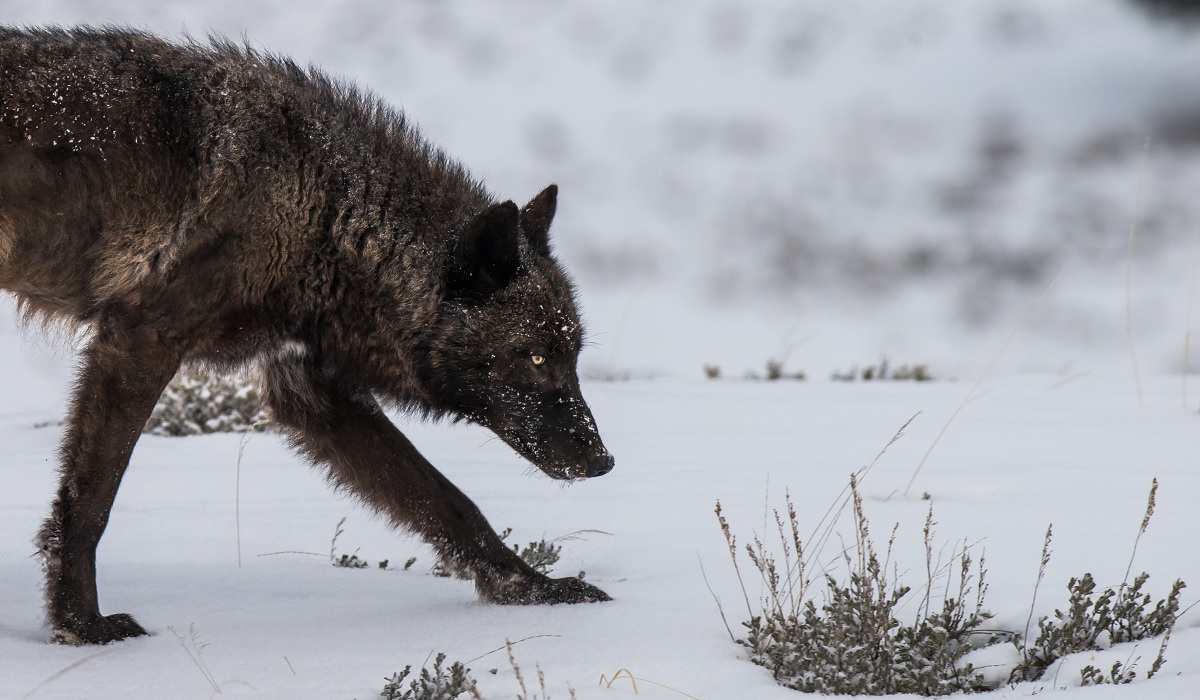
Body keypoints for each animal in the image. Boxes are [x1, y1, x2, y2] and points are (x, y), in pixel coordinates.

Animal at [0, 27, 614, 643]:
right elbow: (90, 502)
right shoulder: (139, 341)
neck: (321, 206)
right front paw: (82, 625)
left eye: (572, 355)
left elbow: (451, 503)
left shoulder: (307, 388)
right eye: (535, 359)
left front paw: (535, 590)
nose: (604, 462)